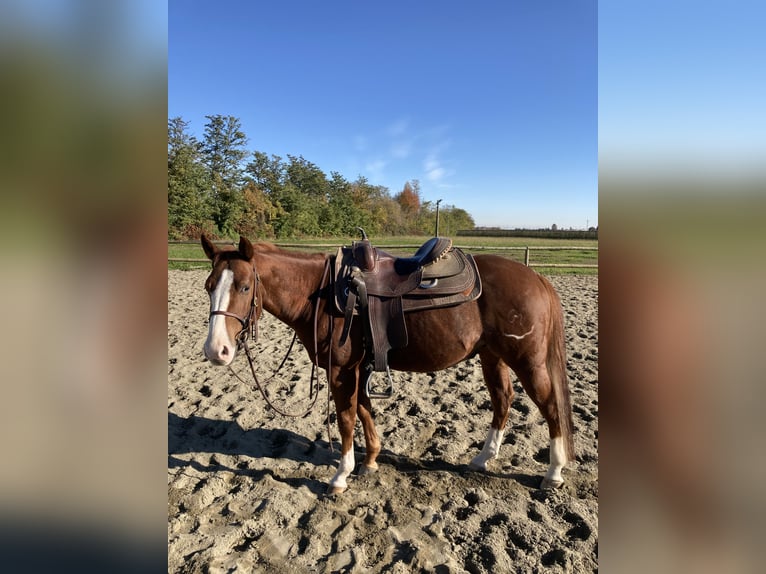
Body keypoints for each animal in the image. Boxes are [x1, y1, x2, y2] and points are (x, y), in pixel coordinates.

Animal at [200, 235, 575, 494]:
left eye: (244, 287)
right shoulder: (358, 367)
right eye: (208, 287)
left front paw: (340, 476)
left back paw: (554, 473)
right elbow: (364, 410)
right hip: (492, 356)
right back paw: (483, 459)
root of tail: (537, 279)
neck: (321, 293)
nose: (216, 350)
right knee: (503, 399)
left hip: (527, 360)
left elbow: (346, 419)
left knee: (549, 405)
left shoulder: (340, 371)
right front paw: (370, 461)